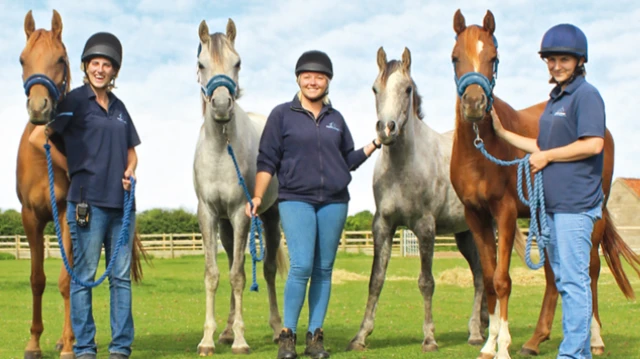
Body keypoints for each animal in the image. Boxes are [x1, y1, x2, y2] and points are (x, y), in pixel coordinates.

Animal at [17, 9, 145, 359]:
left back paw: (70, 339)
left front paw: (69, 345)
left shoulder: (65, 213)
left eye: (60, 59)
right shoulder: (29, 217)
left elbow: (66, 281)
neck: (42, 155)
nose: (39, 108)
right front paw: (33, 343)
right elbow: (36, 279)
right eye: (22, 59)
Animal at [191, 19, 286, 354]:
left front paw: (242, 341)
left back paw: (277, 328)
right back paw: (227, 331)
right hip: (226, 225)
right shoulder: (209, 214)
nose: (221, 106)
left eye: (238, 62)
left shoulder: (241, 214)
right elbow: (213, 274)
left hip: (269, 217)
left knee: (267, 270)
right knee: (234, 261)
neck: (222, 149)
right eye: (201, 64)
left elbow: (239, 276)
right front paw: (208, 338)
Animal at [450, 8, 640, 359]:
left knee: (591, 269)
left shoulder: (505, 213)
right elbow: (489, 278)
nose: (474, 104)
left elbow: (502, 280)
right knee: (554, 275)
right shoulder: (476, 216)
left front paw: (503, 347)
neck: (479, 150)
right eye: (456, 57)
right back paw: (536, 339)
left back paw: (594, 338)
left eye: (494, 57)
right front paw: (489, 343)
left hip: (594, 217)